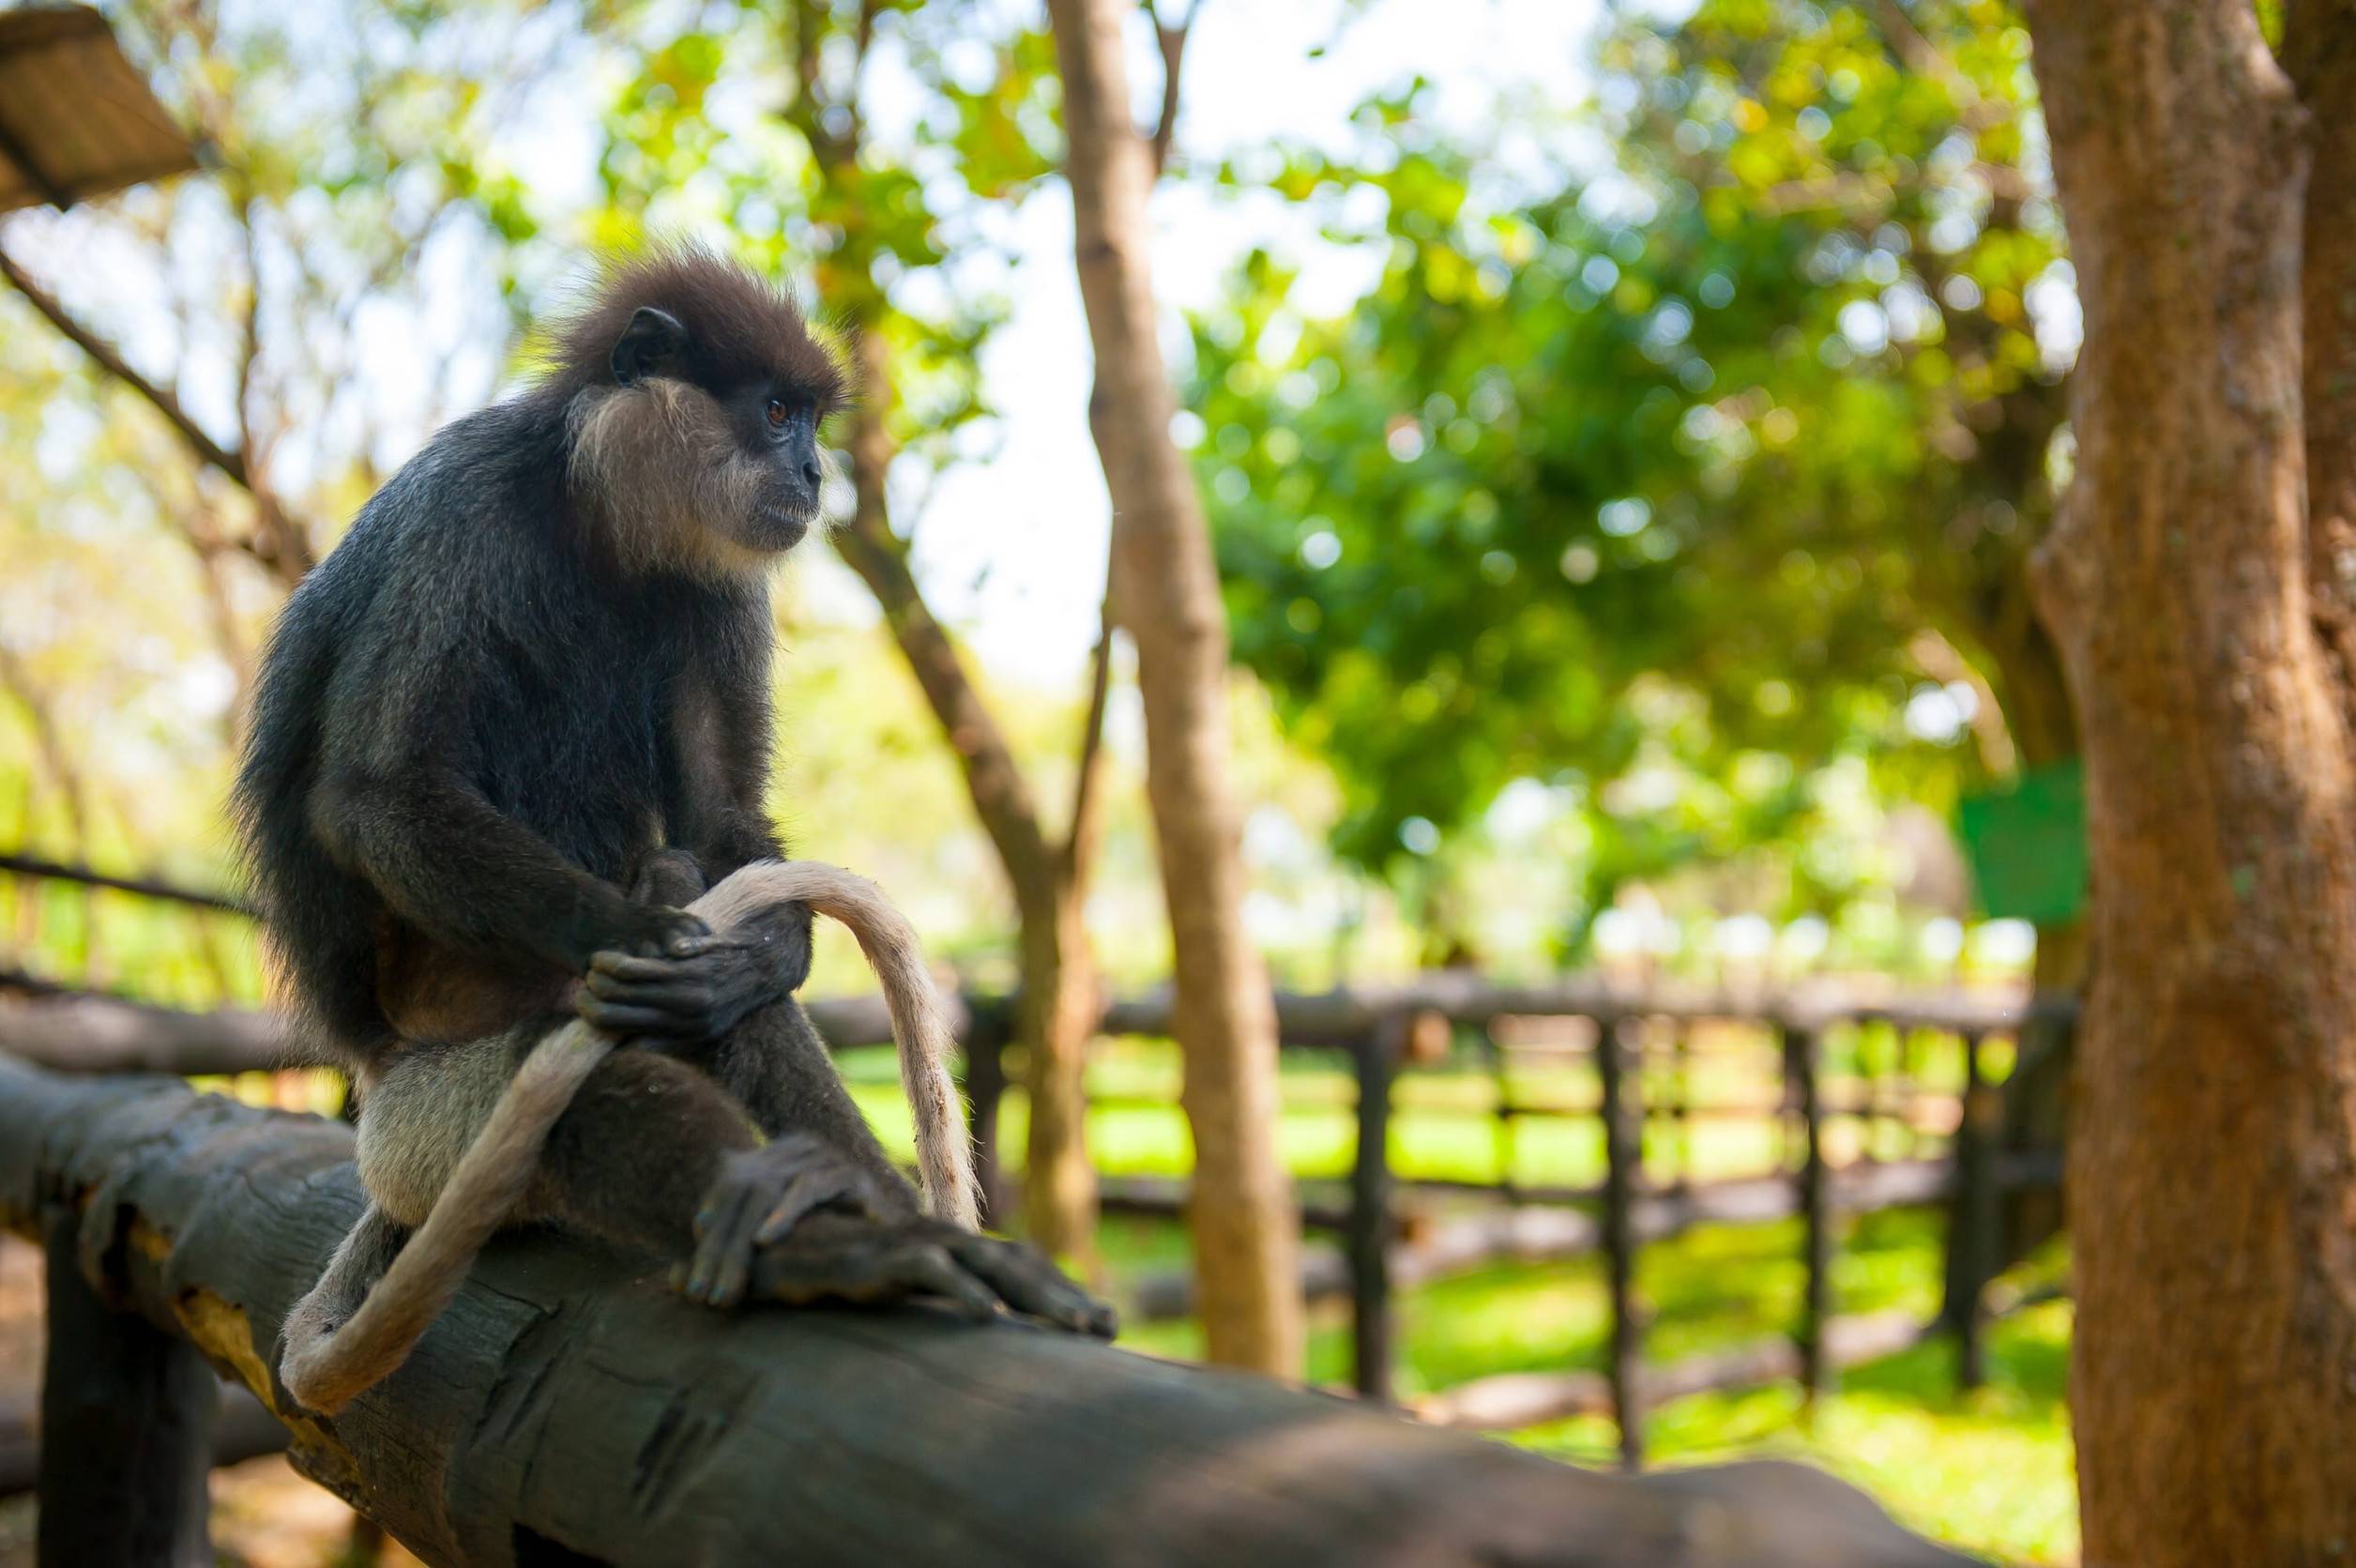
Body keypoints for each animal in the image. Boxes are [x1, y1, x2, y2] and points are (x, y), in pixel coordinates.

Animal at [233, 246, 1113, 1415]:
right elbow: (378, 791)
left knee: (721, 991)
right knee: (586, 1079)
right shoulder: (461, 512)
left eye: (811, 422)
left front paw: (761, 955)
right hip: (425, 1127)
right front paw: (644, 936)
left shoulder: (723, 581)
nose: (817, 474)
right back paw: (833, 1247)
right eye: (777, 413)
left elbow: (720, 822)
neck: (596, 522)